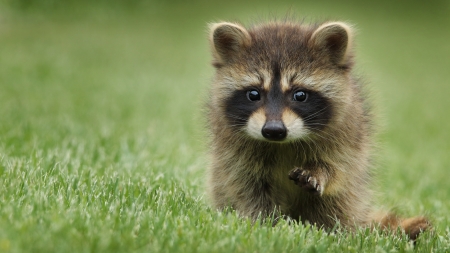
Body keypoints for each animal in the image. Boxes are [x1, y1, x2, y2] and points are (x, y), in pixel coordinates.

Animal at [206, 20, 430, 240]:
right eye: (254, 94)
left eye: (300, 95)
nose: (274, 130)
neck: (283, 144)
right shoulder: (233, 151)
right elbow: (247, 187)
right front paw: (265, 223)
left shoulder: (347, 133)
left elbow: (338, 168)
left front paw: (320, 172)